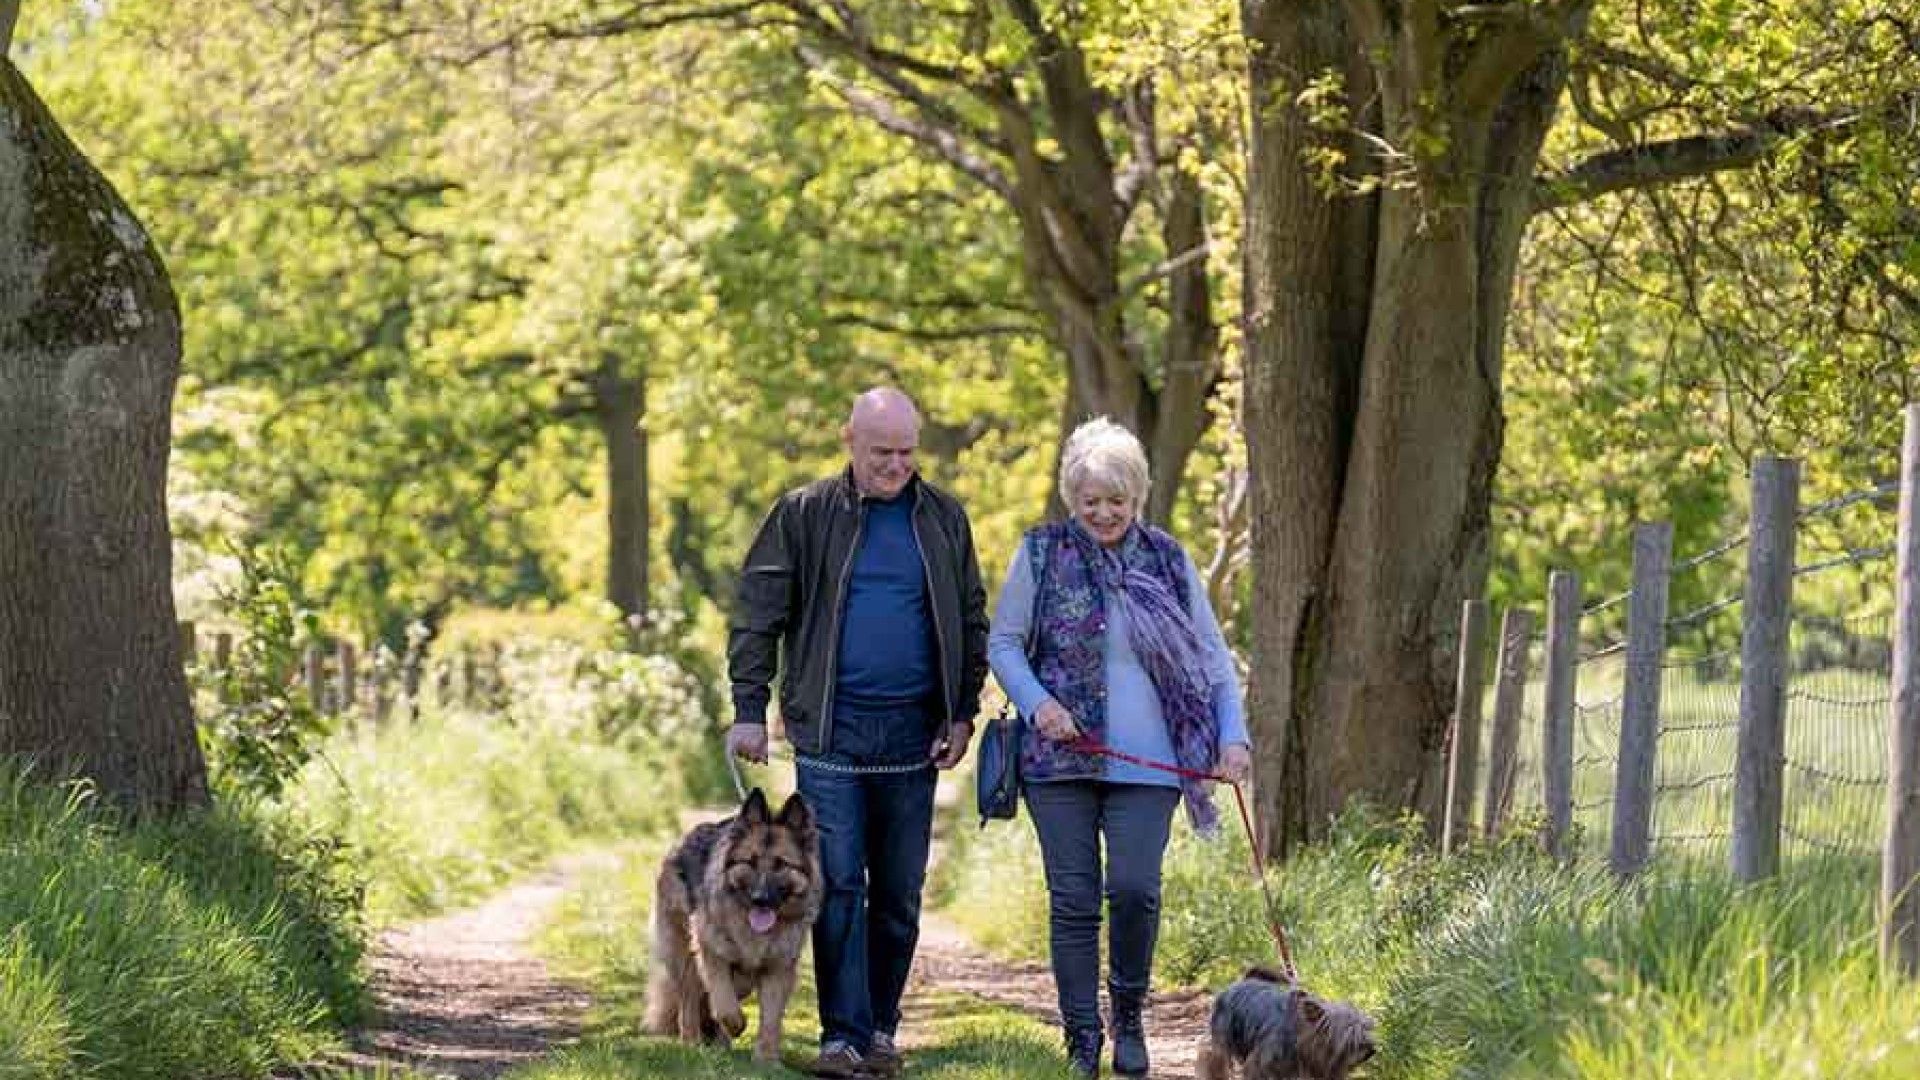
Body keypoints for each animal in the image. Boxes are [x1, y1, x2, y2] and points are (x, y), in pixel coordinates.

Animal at [648, 787, 821, 1053]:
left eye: (781, 864)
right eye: (750, 862)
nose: (760, 899)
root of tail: (682, 841)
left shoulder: (778, 968)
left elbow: (770, 1020)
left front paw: (767, 1059)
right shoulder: (712, 953)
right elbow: (725, 1005)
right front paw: (737, 1025)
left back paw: (721, 1045)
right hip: (684, 955)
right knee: (689, 999)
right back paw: (692, 1042)